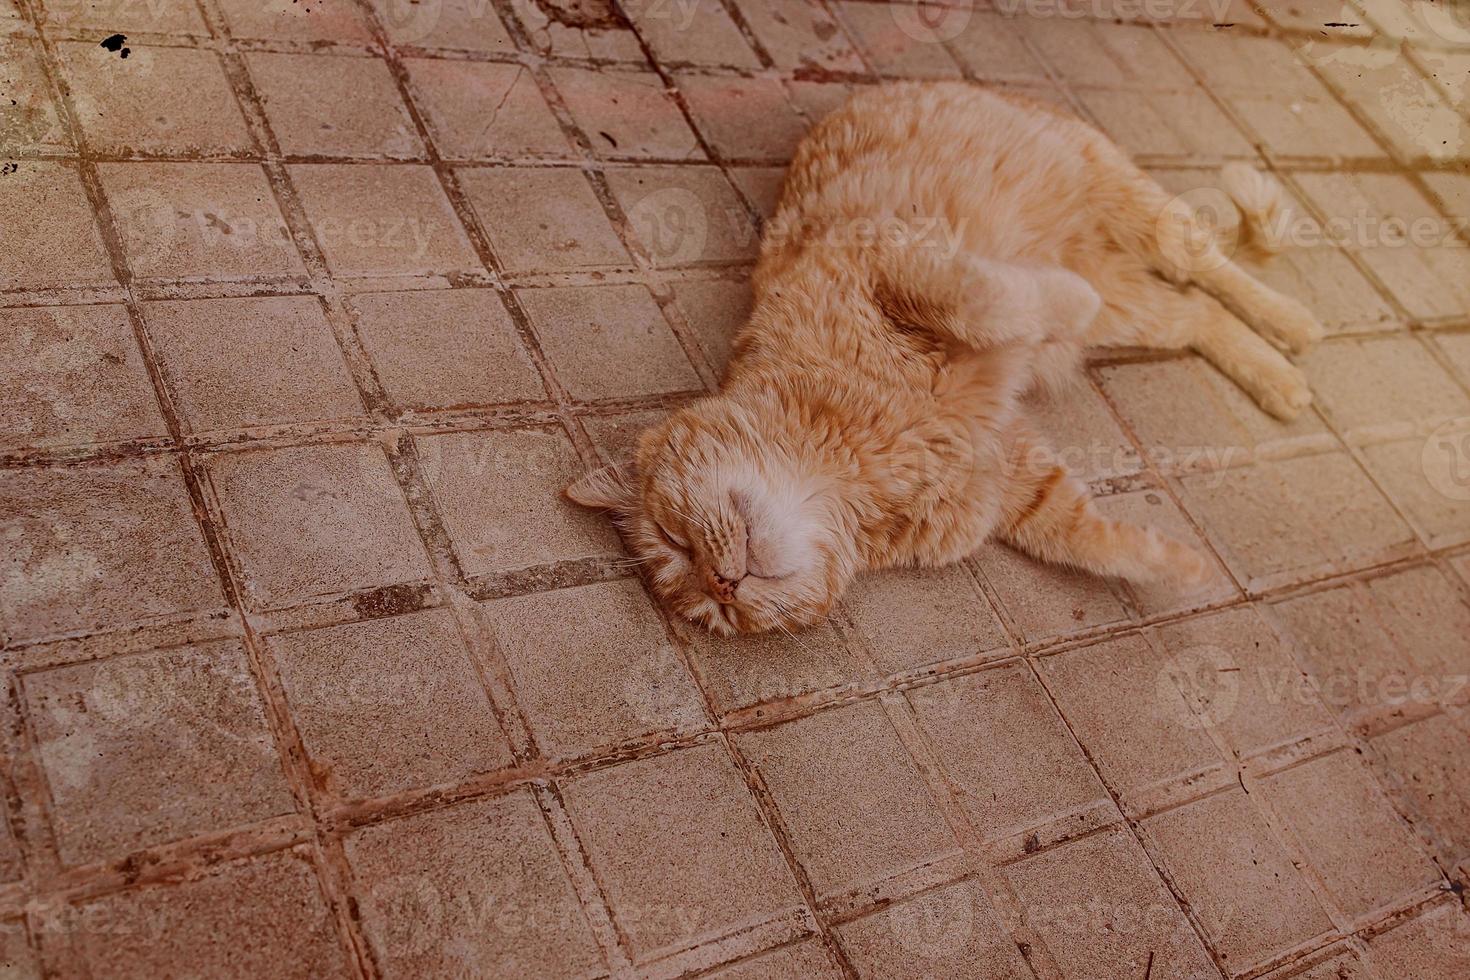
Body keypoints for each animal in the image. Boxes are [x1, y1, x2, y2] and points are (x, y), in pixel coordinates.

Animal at [561, 82, 1323, 637]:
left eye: (674, 538)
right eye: (711, 608)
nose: (722, 582)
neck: (854, 460)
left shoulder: (897, 264)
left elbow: (991, 300)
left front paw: (1054, 300)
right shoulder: (1015, 482)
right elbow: (1097, 541)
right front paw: (1185, 569)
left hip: (1139, 216)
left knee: (1210, 267)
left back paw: (1293, 324)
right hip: (1132, 305)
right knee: (1198, 314)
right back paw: (1277, 375)